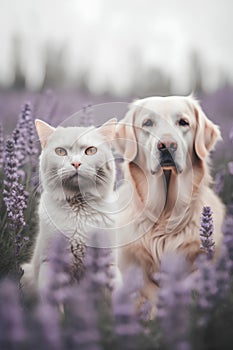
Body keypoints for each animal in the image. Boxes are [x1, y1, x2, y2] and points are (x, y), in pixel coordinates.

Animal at [21, 118, 117, 296]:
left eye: (90, 150)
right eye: (60, 152)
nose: (76, 163)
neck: (78, 208)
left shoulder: (109, 264)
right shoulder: (49, 263)